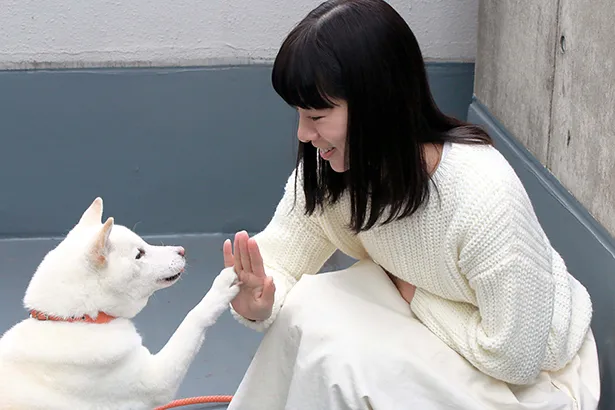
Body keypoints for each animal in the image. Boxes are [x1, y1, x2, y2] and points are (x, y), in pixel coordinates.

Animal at [0, 197, 242, 408]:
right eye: (139, 254)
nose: (182, 251)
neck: (76, 320)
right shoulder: (156, 381)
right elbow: (193, 319)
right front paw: (221, 287)